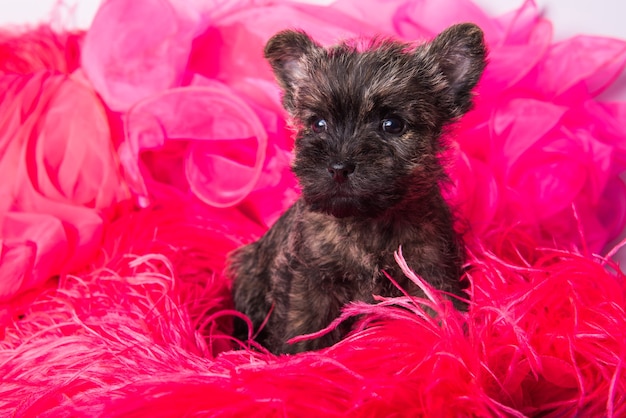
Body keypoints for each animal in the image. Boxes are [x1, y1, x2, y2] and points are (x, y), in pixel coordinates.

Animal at [227, 22, 486, 354]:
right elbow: (303, 329)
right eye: (319, 124)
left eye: (392, 124)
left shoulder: (430, 271)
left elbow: (438, 312)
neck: (367, 223)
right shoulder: (309, 281)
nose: (339, 166)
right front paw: (298, 361)